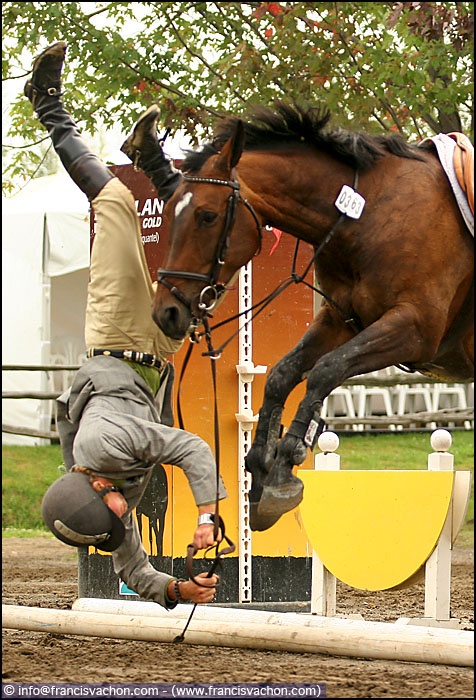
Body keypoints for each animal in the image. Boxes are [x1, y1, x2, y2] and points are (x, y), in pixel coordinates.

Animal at [152, 104, 472, 532]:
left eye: (206, 216)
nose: (166, 312)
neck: (365, 217)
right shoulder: (339, 321)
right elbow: (283, 374)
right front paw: (258, 470)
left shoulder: (413, 329)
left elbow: (324, 371)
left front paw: (283, 467)